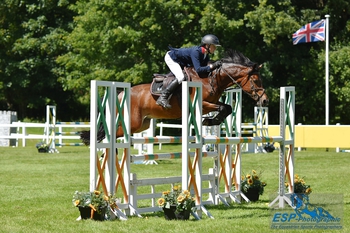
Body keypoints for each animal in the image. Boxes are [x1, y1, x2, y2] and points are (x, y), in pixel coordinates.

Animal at [80, 49, 270, 145]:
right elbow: (224, 107)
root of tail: (120, 93)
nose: (265, 100)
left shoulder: (211, 102)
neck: (210, 78)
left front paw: (210, 121)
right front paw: (210, 120)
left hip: (142, 124)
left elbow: (227, 107)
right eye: (255, 80)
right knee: (114, 132)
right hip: (133, 122)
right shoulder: (201, 104)